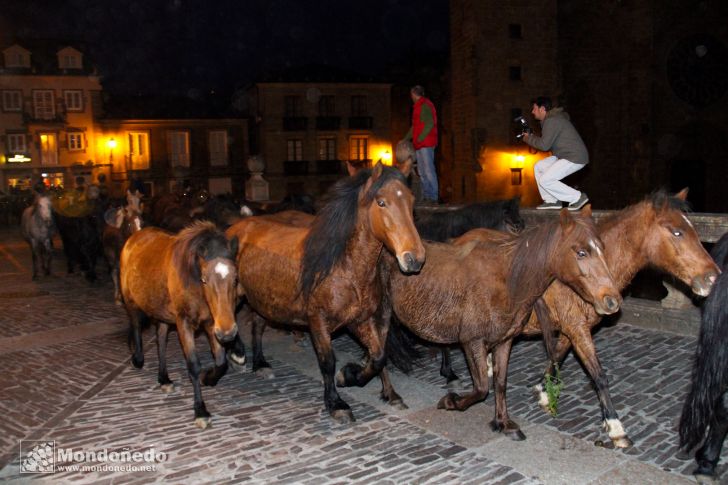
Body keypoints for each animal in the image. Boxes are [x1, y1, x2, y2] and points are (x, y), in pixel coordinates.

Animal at [121, 221, 242, 426]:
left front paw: (208, 378)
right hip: (131, 302)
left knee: (161, 339)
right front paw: (200, 411)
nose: (228, 333)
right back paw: (137, 359)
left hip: (161, 312)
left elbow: (221, 362)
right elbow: (193, 365)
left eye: (235, 278)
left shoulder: (211, 323)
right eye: (204, 279)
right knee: (136, 325)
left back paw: (164, 378)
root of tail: (135, 237)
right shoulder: (184, 323)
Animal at [225, 161, 424, 422]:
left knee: (257, 325)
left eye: (411, 201)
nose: (415, 259)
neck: (344, 266)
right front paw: (336, 403)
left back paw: (260, 364)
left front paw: (355, 378)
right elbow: (328, 362)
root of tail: (237, 226)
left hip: (262, 299)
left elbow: (379, 356)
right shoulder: (318, 321)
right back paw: (236, 356)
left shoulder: (360, 320)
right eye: (381, 202)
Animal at [382, 206, 620, 440]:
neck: (507, 280)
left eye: (602, 248)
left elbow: (500, 382)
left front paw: (503, 423)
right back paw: (392, 395)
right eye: (581, 252)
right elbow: (481, 388)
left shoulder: (504, 341)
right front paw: (451, 401)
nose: (612, 301)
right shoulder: (472, 341)